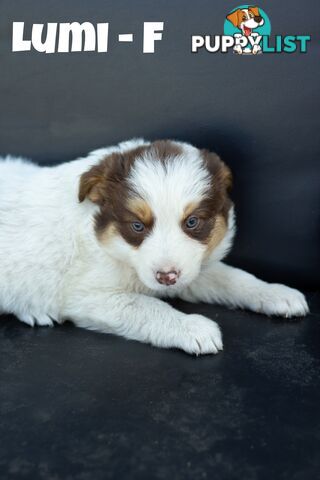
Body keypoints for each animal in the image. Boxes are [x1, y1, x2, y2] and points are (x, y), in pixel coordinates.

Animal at [0, 141, 310, 354]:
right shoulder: (88, 295)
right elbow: (146, 306)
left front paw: (275, 292)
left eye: (192, 222)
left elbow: (233, 277)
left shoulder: (191, 268)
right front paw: (192, 326)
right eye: (137, 226)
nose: (166, 277)